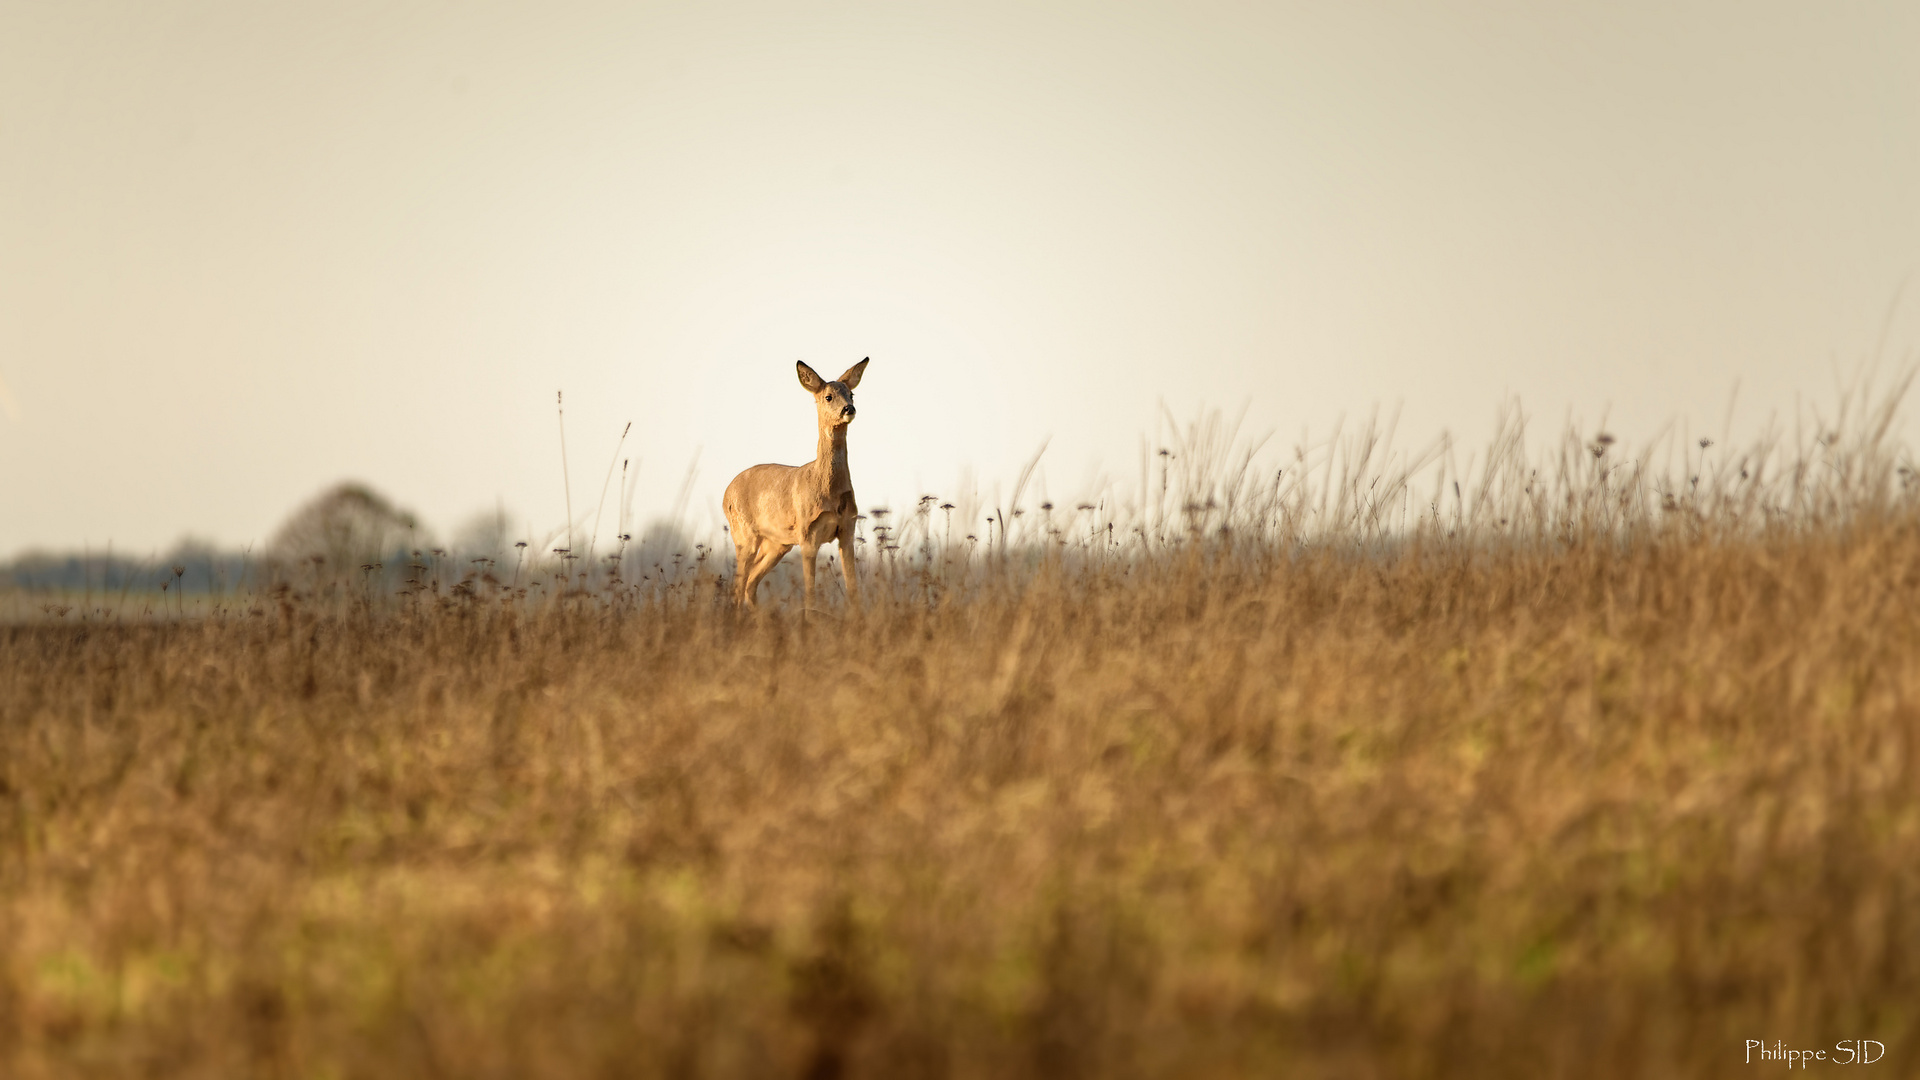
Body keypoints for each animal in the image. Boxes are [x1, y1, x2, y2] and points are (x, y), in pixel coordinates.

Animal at [721, 357, 871, 611]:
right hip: (744, 535)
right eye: (828, 396)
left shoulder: (847, 528)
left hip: (777, 544)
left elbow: (853, 587)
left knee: (750, 582)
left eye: (851, 394)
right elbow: (810, 589)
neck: (827, 489)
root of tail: (726, 493)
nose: (848, 409)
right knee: (738, 585)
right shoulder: (807, 532)